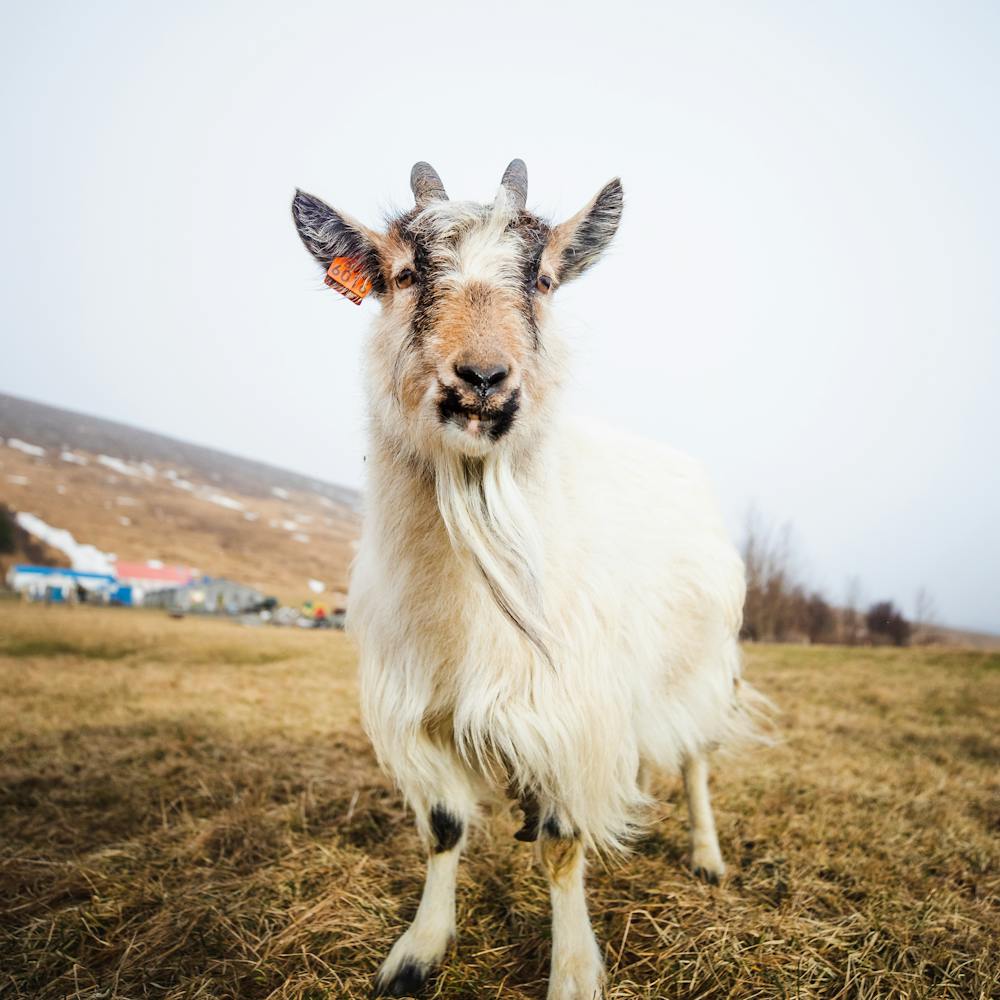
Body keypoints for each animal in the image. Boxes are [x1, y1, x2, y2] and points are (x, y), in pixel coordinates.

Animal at [292, 162, 764, 1000]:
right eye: (404, 275)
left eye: (543, 280)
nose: (482, 380)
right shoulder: (420, 715)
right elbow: (444, 829)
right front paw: (418, 951)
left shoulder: (571, 714)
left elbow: (564, 842)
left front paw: (573, 970)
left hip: (704, 667)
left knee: (695, 757)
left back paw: (707, 856)